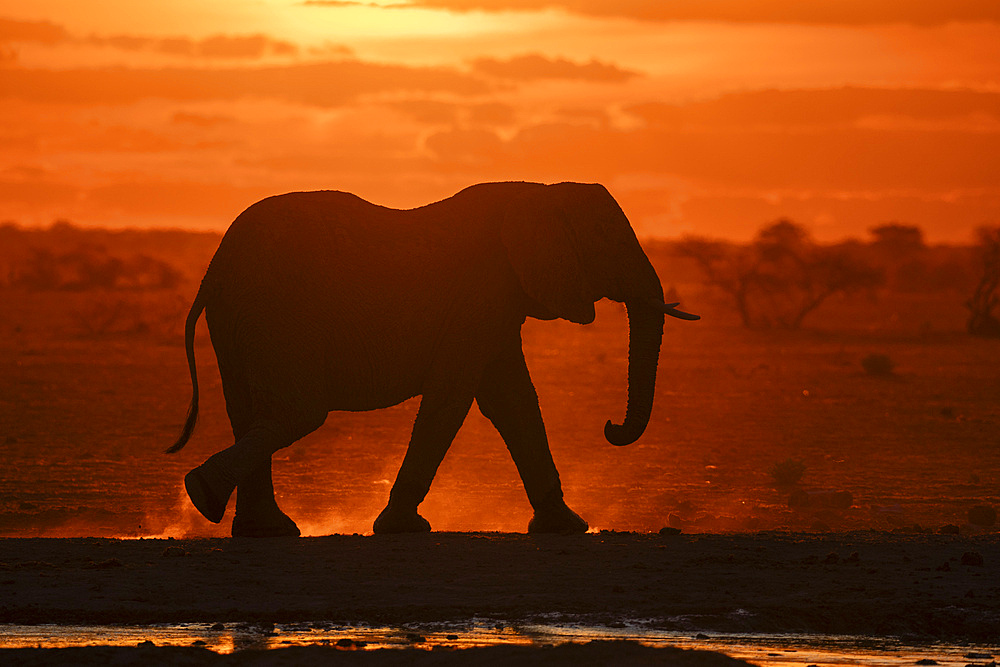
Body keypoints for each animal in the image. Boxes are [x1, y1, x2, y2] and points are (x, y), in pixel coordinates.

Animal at [166, 181, 696, 536]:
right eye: (611, 239)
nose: (610, 427)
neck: (540, 190)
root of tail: (213, 269)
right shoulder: (481, 291)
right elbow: (454, 397)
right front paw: (402, 528)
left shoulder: (496, 301)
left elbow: (512, 400)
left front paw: (566, 526)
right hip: (277, 313)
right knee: (296, 412)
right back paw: (202, 494)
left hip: (239, 319)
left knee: (250, 411)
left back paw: (260, 527)